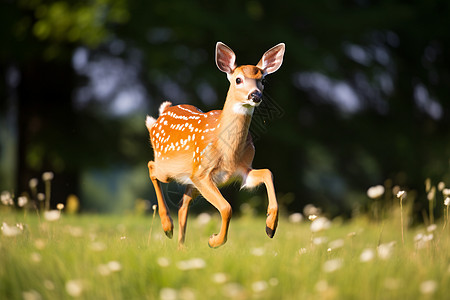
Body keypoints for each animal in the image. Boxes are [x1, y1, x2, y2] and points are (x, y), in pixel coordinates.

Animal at [146, 42, 284, 248]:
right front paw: (214, 241)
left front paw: (270, 227)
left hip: (190, 182)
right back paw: (167, 227)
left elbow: (268, 172)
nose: (255, 95)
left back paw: (180, 247)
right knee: (152, 167)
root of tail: (163, 112)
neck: (228, 155)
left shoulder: (243, 171)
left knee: (183, 205)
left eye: (263, 80)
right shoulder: (202, 172)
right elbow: (227, 208)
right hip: (169, 169)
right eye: (238, 79)